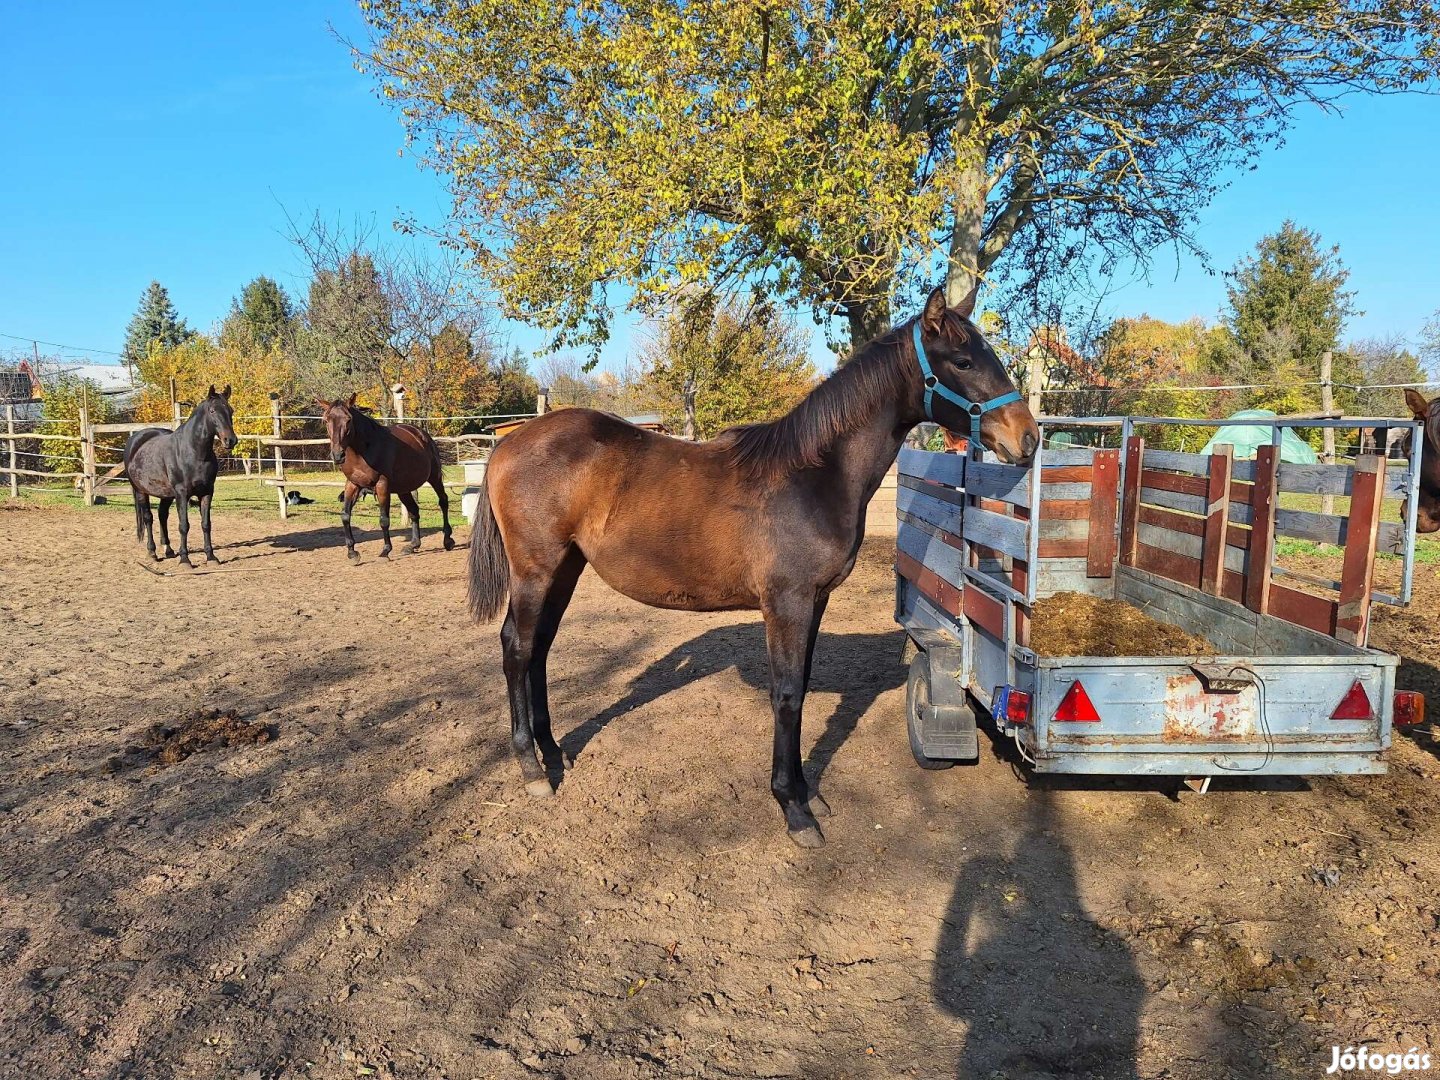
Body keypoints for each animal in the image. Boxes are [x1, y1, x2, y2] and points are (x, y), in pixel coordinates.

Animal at [124, 385, 239, 567]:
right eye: (212, 411)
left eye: (231, 410)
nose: (230, 440)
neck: (194, 452)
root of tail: (135, 440)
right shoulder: (182, 493)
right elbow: (184, 525)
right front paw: (185, 559)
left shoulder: (207, 492)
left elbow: (206, 524)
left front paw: (211, 557)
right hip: (141, 491)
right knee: (148, 518)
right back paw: (152, 552)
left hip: (166, 494)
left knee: (162, 515)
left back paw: (169, 550)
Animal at [319, 400, 455, 567]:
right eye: (326, 420)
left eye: (348, 419)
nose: (338, 455)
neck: (363, 451)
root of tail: (421, 434)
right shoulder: (352, 484)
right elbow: (345, 515)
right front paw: (352, 553)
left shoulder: (382, 485)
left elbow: (384, 520)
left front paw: (385, 552)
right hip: (404, 489)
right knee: (414, 511)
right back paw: (413, 545)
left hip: (434, 477)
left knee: (443, 501)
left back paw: (447, 540)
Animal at [469, 292, 1036, 852]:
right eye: (963, 361)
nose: (1027, 438)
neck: (813, 476)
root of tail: (509, 443)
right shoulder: (786, 603)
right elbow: (785, 695)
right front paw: (793, 808)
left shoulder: (815, 600)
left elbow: (800, 688)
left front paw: (808, 794)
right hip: (535, 571)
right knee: (517, 648)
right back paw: (531, 768)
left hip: (564, 569)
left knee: (539, 650)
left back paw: (552, 752)